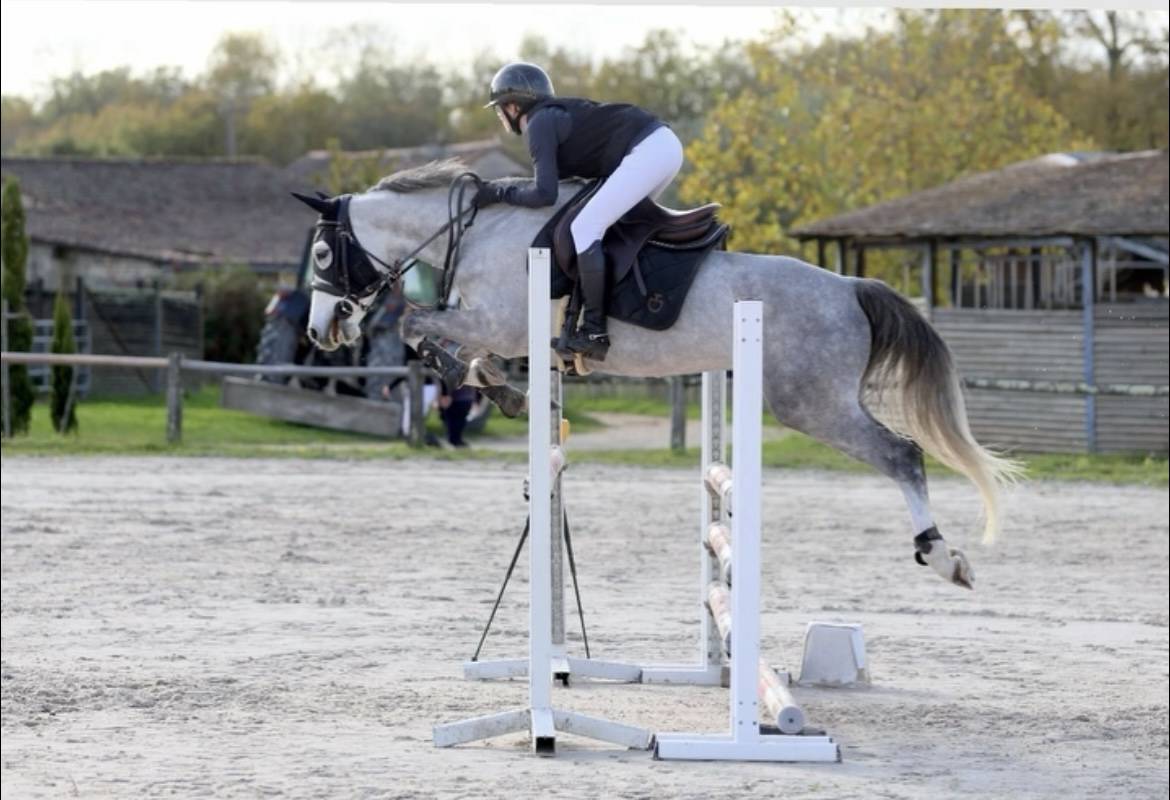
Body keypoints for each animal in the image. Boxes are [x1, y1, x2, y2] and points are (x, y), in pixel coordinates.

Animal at [293, 159, 1019, 590]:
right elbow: (431, 333)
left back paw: (943, 555)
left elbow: (418, 327)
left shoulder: (499, 322)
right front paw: (496, 385)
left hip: (809, 402)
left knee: (902, 456)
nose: (321, 332)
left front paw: (492, 384)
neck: (475, 234)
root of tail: (850, 286)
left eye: (323, 253)